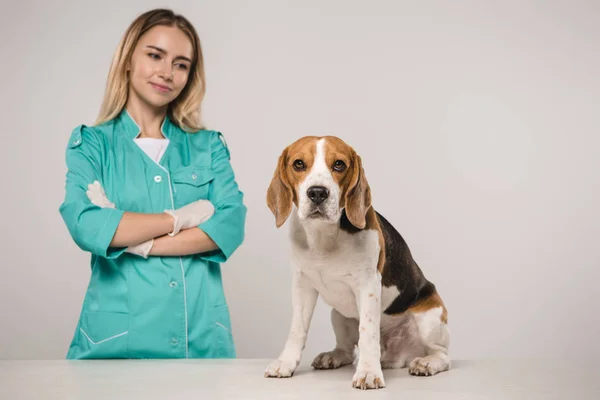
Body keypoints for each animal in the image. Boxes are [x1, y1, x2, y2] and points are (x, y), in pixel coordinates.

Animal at [264, 136, 450, 390]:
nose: (318, 193)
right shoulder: (302, 284)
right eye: (299, 164)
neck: (324, 236)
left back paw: (426, 362)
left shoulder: (368, 285)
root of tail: (398, 355)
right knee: (348, 350)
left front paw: (369, 372)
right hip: (338, 315)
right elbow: (297, 329)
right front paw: (285, 363)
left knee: (443, 354)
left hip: (430, 317)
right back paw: (333, 356)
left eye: (339, 164)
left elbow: (368, 332)